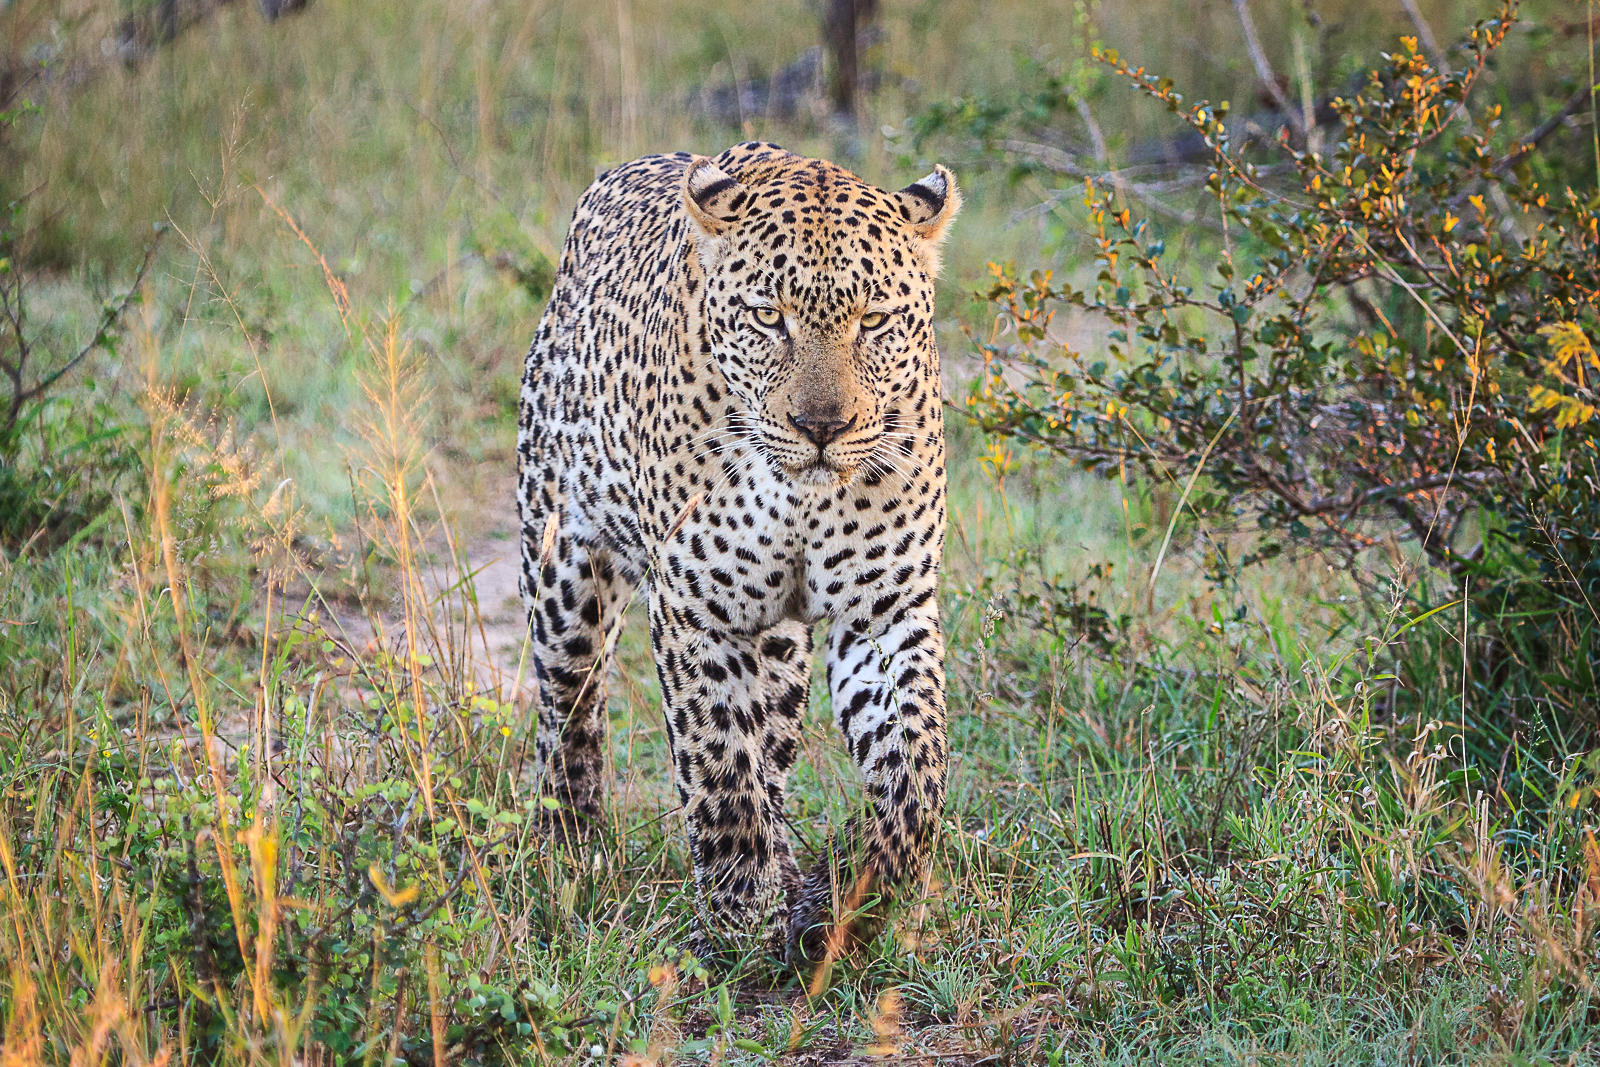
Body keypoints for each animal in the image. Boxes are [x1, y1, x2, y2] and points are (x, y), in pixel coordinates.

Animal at [516, 141, 959, 965]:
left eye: (874, 320)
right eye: (767, 317)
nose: (823, 426)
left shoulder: (884, 611)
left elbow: (915, 772)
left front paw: (864, 897)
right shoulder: (696, 606)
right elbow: (719, 763)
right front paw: (737, 916)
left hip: (778, 641)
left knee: (774, 743)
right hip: (562, 568)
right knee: (571, 710)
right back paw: (571, 851)